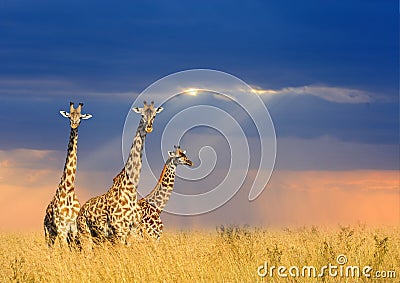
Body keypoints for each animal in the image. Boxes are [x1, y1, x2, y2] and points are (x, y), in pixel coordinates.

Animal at [43, 102, 92, 248]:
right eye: (69, 116)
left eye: (80, 117)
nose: (74, 125)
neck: (69, 189)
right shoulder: (61, 227)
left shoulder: (73, 227)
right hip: (48, 232)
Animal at [76, 101, 163, 246]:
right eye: (142, 115)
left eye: (155, 115)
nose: (149, 127)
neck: (131, 191)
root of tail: (81, 211)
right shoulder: (119, 231)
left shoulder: (133, 231)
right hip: (85, 234)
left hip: (99, 237)